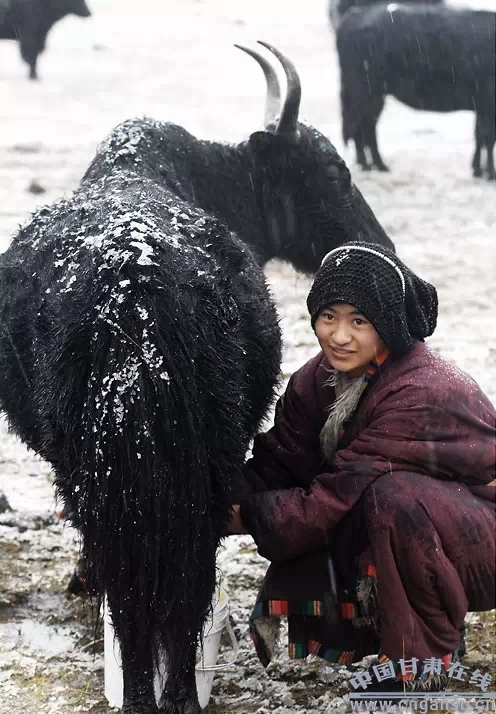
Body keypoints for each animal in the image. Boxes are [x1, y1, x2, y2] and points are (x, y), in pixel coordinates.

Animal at [0, 43, 393, 714]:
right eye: (333, 173)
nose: (376, 246)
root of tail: (136, 291)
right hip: (195, 466)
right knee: (175, 577)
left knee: (148, 582)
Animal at [336, 5, 496, 180]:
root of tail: (356, 13)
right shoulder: (488, 104)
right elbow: (488, 139)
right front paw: (490, 173)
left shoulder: (482, 106)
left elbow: (480, 136)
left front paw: (478, 170)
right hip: (363, 92)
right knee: (360, 126)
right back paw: (369, 164)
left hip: (374, 95)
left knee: (366, 126)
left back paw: (376, 165)